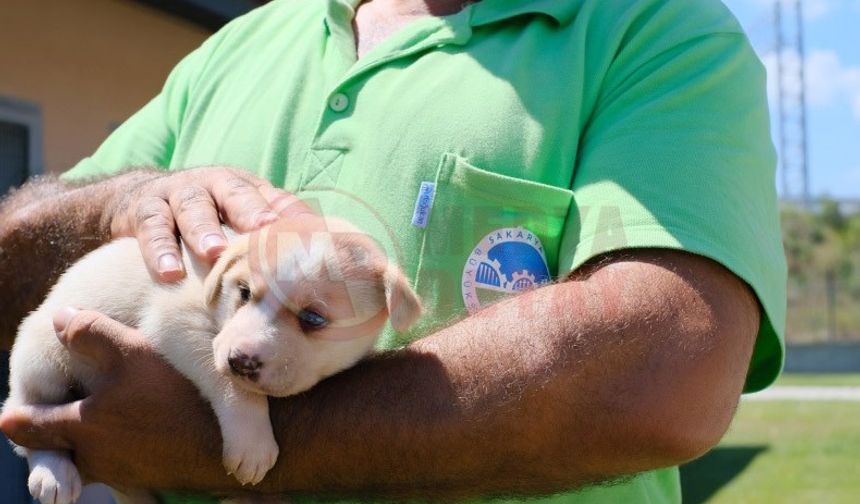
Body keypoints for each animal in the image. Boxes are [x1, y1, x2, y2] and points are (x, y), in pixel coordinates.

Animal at [3, 214, 420, 504]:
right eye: (244, 292)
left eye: (313, 319)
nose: (241, 361)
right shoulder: (176, 321)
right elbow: (229, 384)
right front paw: (251, 442)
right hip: (41, 358)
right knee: (29, 422)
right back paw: (53, 473)